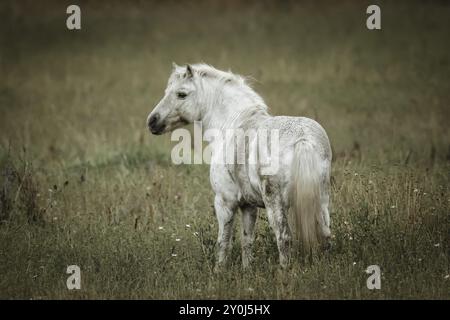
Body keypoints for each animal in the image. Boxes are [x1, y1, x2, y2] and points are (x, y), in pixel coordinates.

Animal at [148, 63, 330, 268]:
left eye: (181, 94)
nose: (152, 121)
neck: (231, 124)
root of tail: (303, 140)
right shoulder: (248, 205)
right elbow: (247, 240)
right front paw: (247, 270)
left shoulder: (225, 202)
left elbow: (223, 242)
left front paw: (219, 270)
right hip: (321, 199)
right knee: (325, 235)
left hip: (274, 203)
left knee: (283, 238)